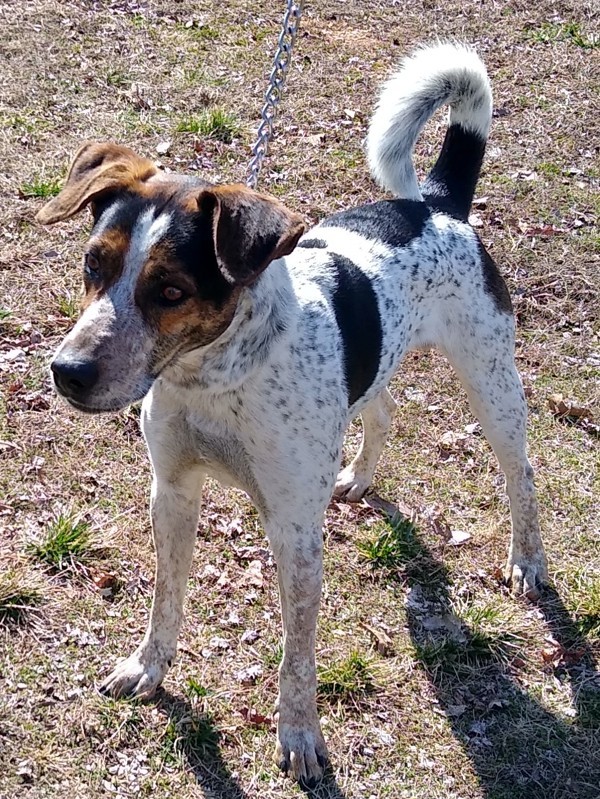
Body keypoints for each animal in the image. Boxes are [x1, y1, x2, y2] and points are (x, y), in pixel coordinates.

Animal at [35, 43, 548, 788]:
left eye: (171, 291)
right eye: (91, 265)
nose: (67, 372)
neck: (213, 379)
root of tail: (436, 205)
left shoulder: (295, 531)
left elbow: (297, 655)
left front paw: (300, 735)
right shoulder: (173, 490)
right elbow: (166, 598)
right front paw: (148, 669)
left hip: (492, 383)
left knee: (521, 474)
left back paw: (527, 560)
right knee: (383, 408)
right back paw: (358, 477)